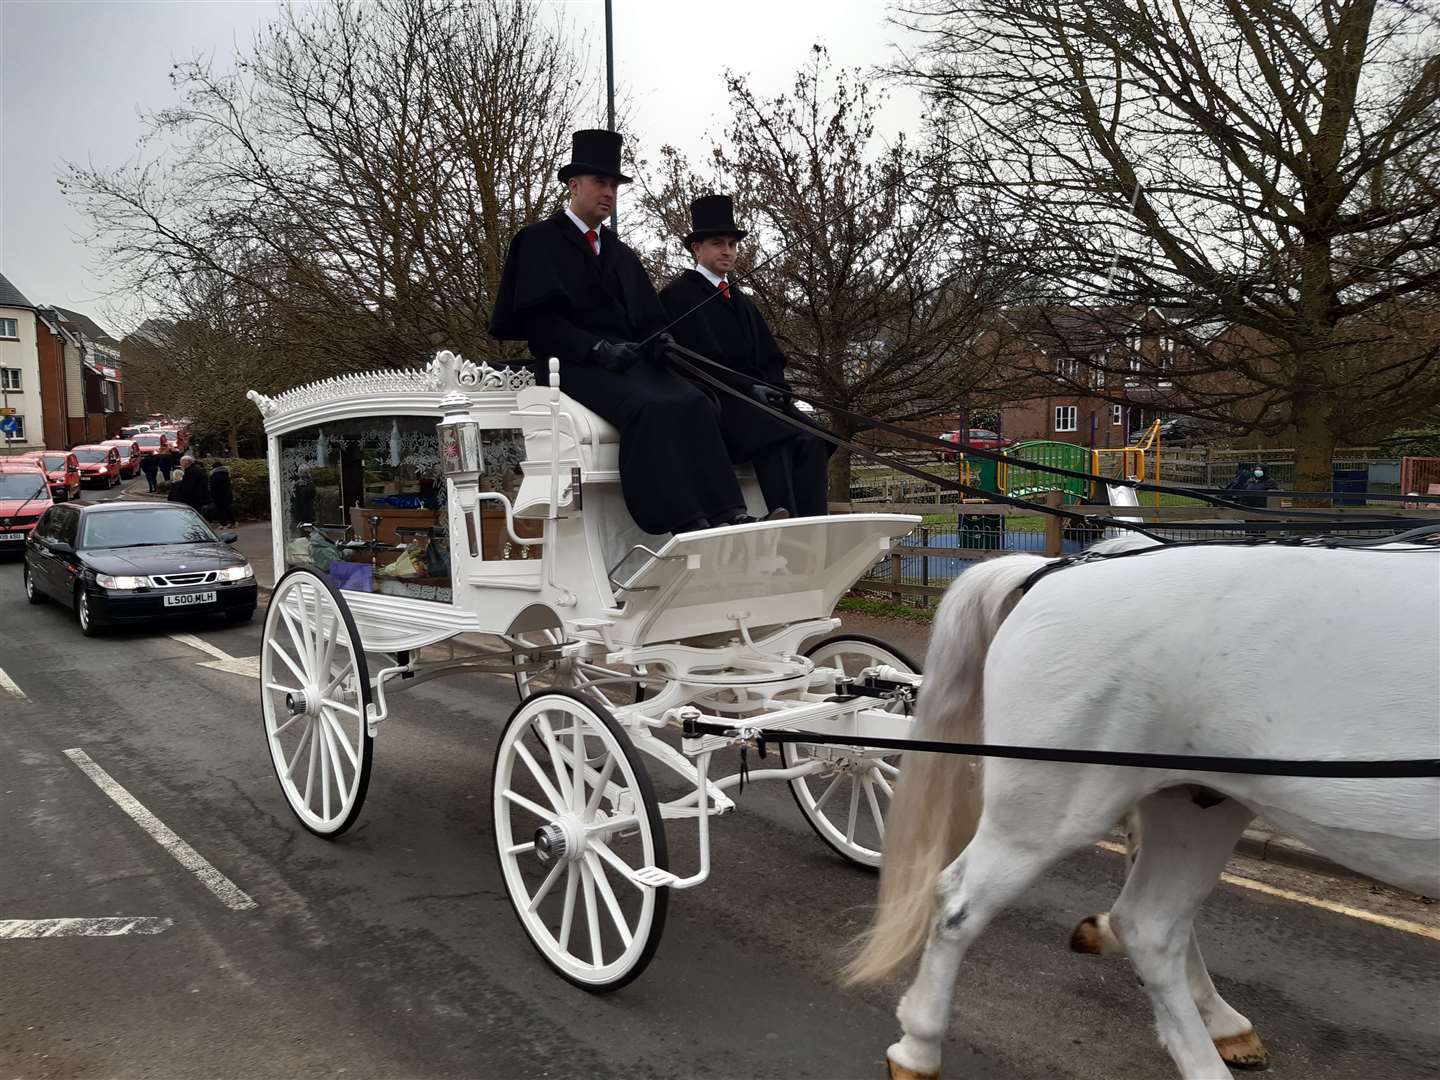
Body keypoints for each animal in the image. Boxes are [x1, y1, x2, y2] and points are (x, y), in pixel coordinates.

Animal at [846, 550, 1434, 1080]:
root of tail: (1055, 571)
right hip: (1046, 811)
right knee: (958, 905)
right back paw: (918, 1047)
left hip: (1198, 804)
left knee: (1149, 926)